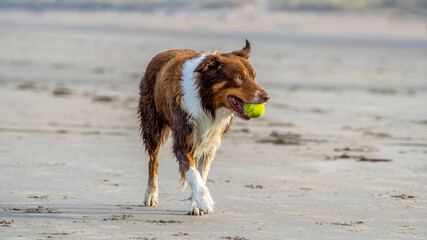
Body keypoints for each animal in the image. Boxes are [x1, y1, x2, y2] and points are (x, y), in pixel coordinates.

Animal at [139, 39, 270, 216]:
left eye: (253, 76)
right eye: (239, 77)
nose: (266, 97)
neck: (207, 102)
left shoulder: (210, 141)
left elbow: (201, 173)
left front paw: (195, 204)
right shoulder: (184, 139)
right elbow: (193, 173)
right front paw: (204, 200)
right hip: (152, 125)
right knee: (153, 160)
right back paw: (151, 194)